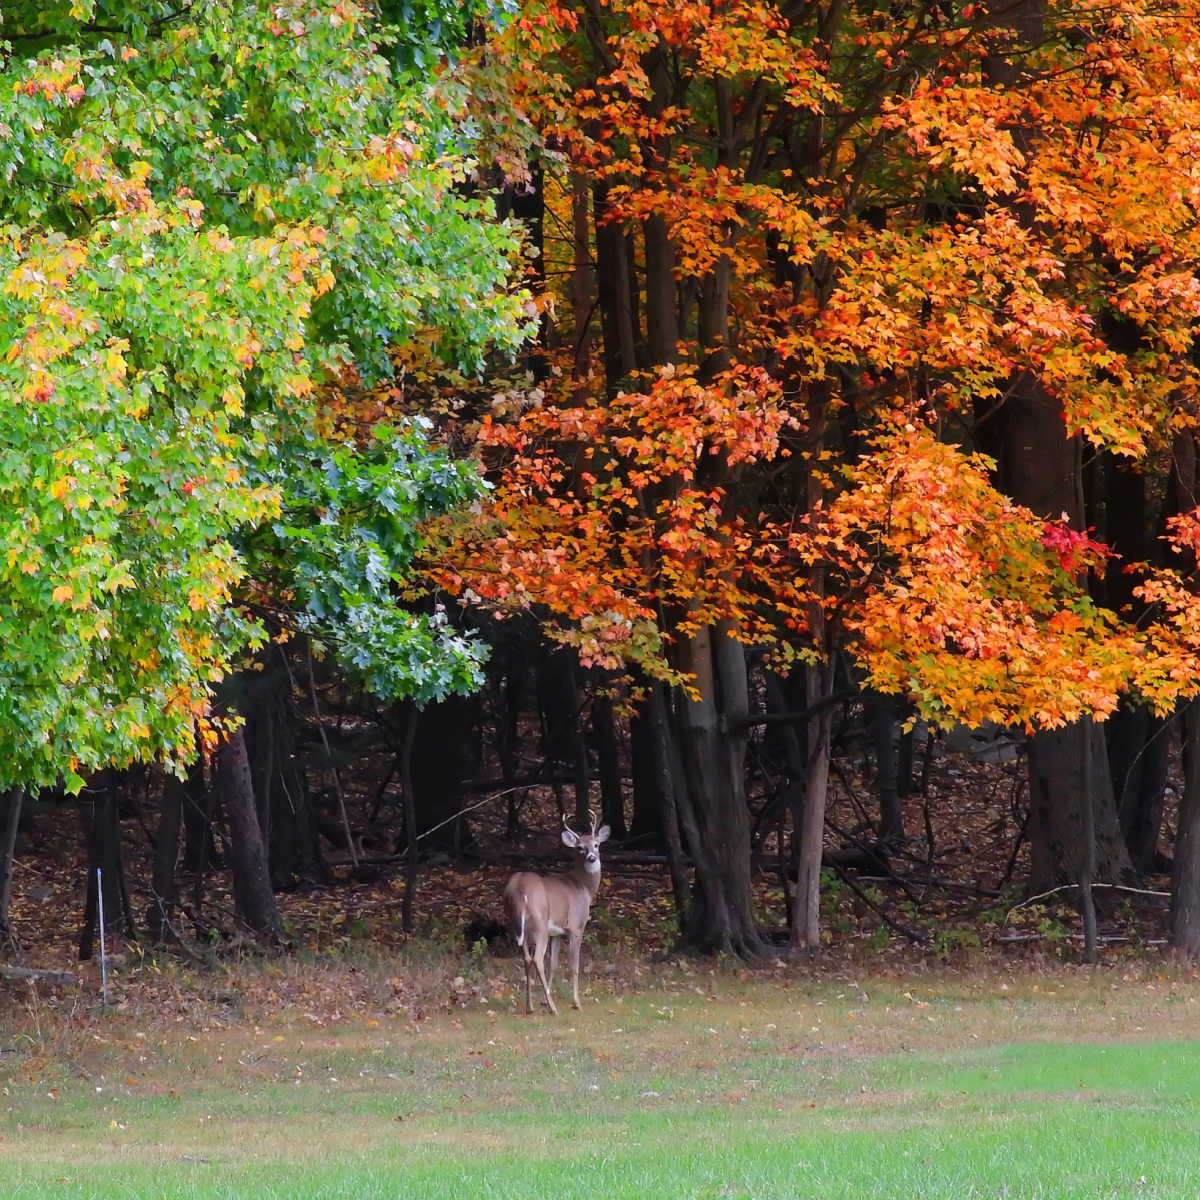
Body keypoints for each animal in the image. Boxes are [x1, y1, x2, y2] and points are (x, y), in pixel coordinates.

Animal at [501, 816, 609, 1012]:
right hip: (540, 924)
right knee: (537, 959)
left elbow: (555, 964)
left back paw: (530, 1007)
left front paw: (545, 999)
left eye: (596, 844)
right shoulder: (576, 926)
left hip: (517, 925)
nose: (591, 857)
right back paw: (553, 1009)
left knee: (526, 958)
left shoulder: (557, 932)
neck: (584, 887)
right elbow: (574, 965)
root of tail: (518, 889)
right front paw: (576, 1002)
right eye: (579, 847)